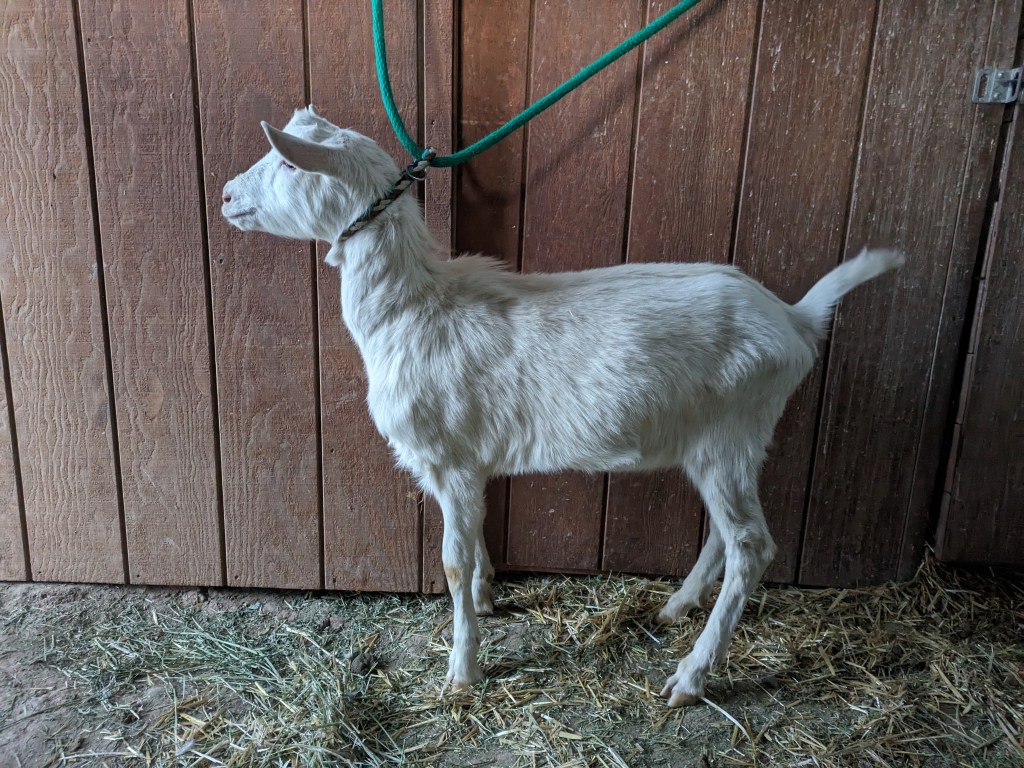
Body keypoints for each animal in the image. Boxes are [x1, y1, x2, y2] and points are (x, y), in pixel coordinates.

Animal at [221, 106, 904, 706]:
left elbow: (449, 561)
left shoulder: (449, 458)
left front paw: (462, 670)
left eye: (286, 162)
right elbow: (475, 537)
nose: (226, 196)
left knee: (752, 546)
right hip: (723, 442)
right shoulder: (469, 461)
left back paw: (690, 678)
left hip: (732, 432)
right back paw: (675, 607)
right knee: (725, 533)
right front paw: (487, 595)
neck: (415, 306)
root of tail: (796, 320)